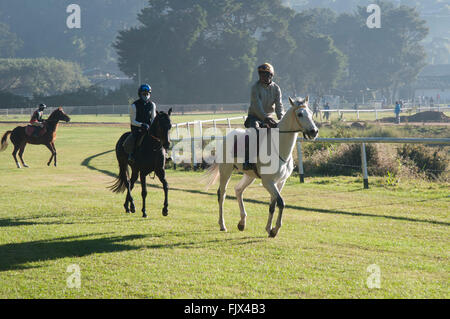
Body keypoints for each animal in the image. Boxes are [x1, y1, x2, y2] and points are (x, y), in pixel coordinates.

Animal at [206, 96, 318, 239]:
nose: (314, 131)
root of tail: (228, 137)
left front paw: (269, 229)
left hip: (249, 176)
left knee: (238, 190)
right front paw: (275, 230)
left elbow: (273, 205)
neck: (279, 148)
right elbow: (281, 202)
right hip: (226, 171)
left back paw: (242, 223)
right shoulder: (268, 182)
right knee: (222, 194)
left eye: (311, 112)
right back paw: (222, 225)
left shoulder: (280, 182)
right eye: (300, 114)